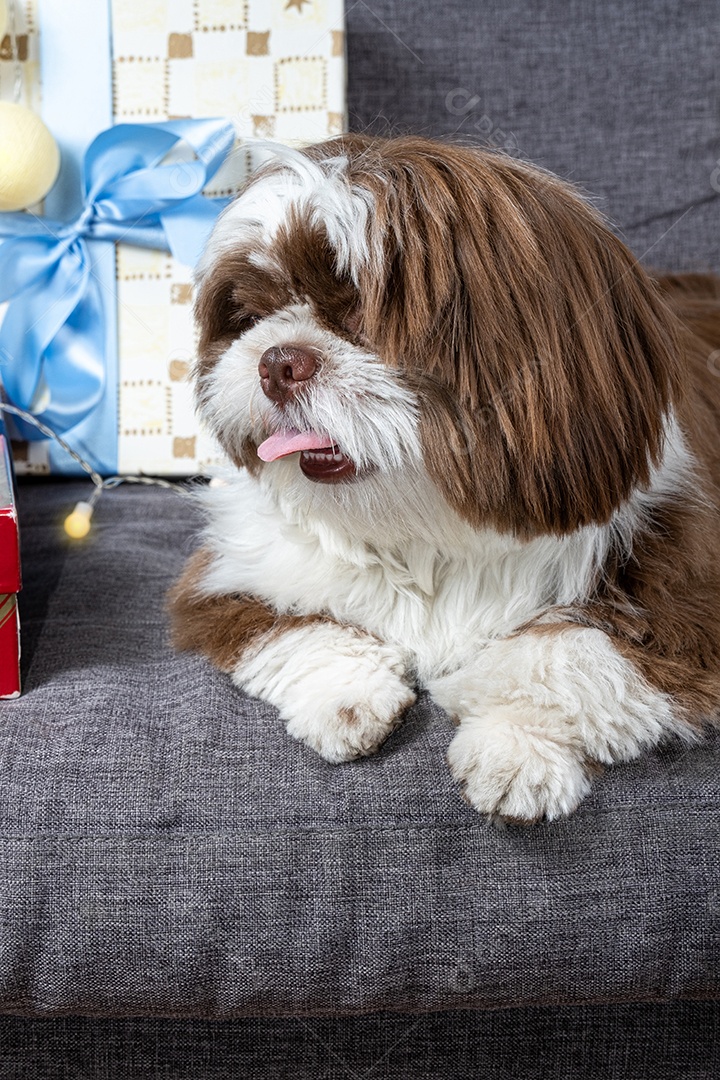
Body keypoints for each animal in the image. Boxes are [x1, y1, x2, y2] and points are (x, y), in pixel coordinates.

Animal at [167, 137, 720, 825]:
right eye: (250, 314)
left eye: (364, 315)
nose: (278, 360)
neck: (423, 528)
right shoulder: (232, 573)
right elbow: (287, 623)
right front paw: (348, 695)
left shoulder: (684, 595)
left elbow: (566, 653)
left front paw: (514, 750)